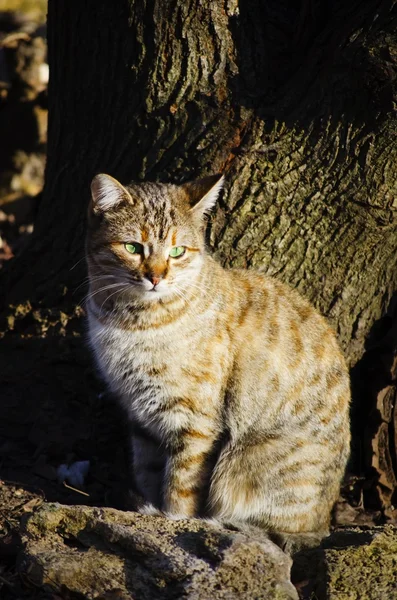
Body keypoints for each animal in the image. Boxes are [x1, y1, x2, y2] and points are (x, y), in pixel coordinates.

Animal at [86, 172, 350, 552]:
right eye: (133, 247)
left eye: (177, 251)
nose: (156, 277)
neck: (131, 321)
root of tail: (321, 526)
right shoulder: (140, 415)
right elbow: (148, 469)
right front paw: (147, 509)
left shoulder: (195, 421)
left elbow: (181, 485)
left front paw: (171, 519)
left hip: (246, 459)